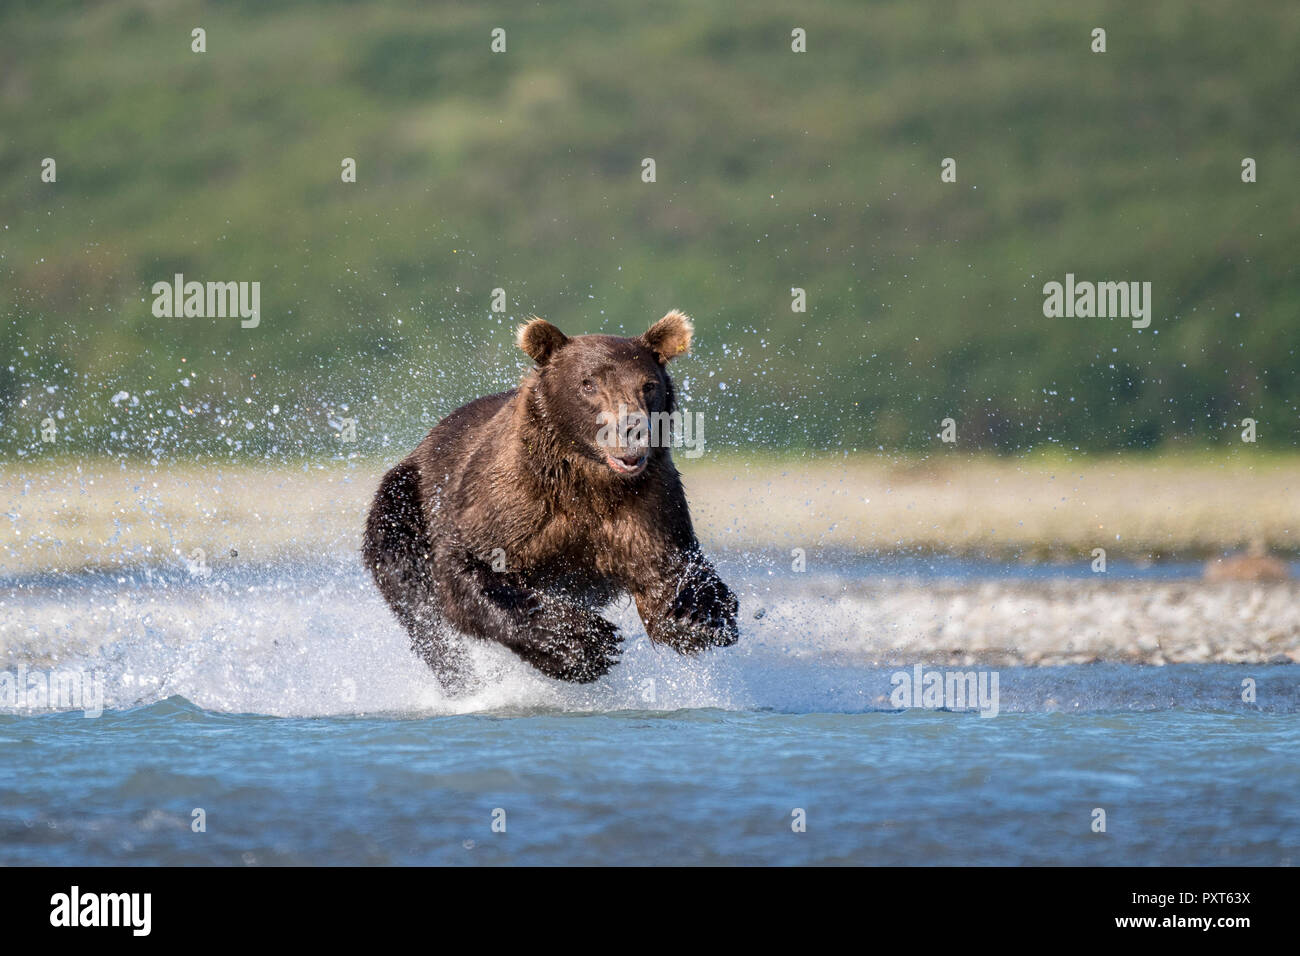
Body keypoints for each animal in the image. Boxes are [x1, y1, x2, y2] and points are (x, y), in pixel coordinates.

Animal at [361, 310, 738, 691]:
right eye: (588, 383)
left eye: (648, 385)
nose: (633, 429)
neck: (590, 482)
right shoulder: (509, 503)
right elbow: (469, 571)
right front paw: (583, 643)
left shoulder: (647, 506)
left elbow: (671, 569)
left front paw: (696, 616)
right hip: (406, 498)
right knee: (415, 595)